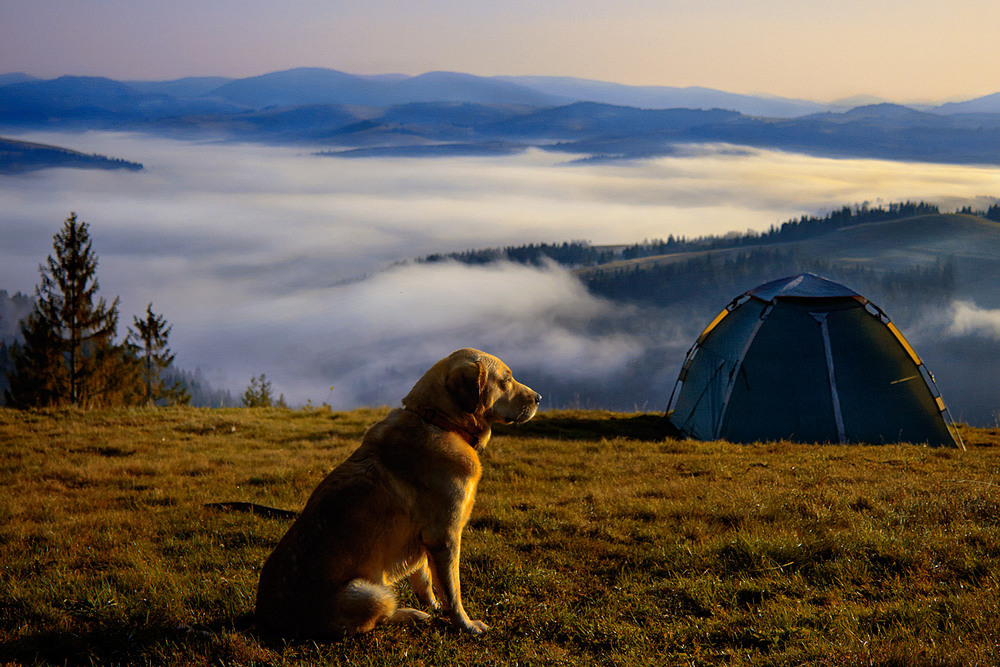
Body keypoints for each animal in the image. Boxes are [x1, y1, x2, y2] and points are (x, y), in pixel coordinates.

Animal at [254, 348, 544, 640]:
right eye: (506, 380)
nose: (539, 398)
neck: (439, 422)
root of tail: (268, 619)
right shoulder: (444, 537)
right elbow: (452, 591)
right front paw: (465, 625)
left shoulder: (425, 541)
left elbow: (424, 579)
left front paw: (433, 606)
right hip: (372, 593)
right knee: (379, 618)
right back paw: (412, 615)